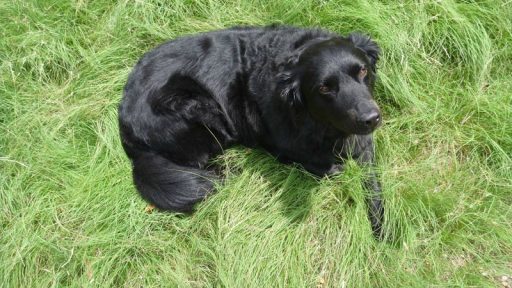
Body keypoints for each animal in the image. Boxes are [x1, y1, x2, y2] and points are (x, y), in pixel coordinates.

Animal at [120, 24, 384, 236]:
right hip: (199, 107)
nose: (371, 119)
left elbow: (373, 185)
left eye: (362, 70)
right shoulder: (278, 144)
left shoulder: (364, 145)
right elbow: (320, 165)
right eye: (324, 88)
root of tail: (125, 128)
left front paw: (382, 229)